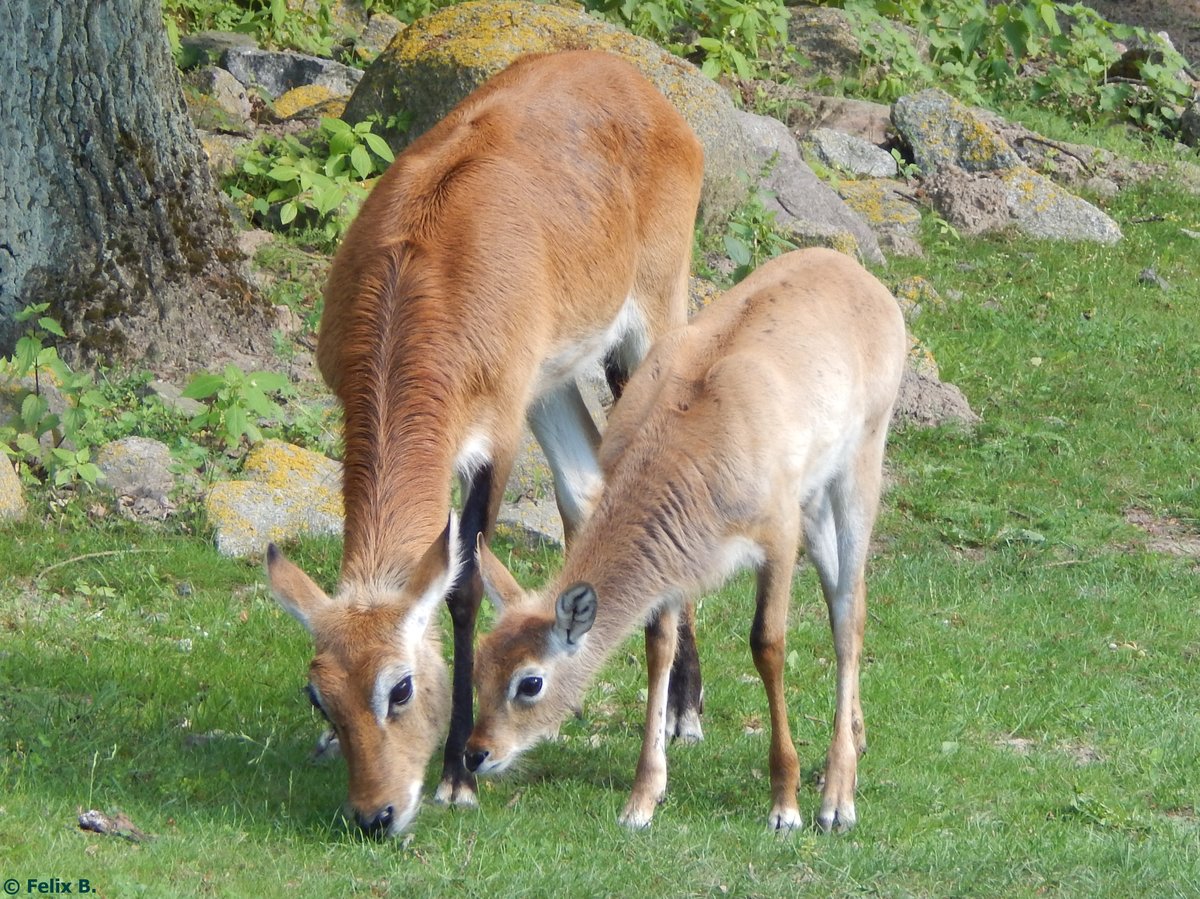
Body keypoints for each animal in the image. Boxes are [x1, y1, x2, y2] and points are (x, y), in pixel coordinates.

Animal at [265, 49, 700, 835]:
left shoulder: (495, 437)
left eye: (401, 688)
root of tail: (633, 79)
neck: (419, 284)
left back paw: (685, 711)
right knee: (587, 488)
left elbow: (463, 585)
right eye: (320, 696)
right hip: (552, 383)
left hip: (649, 327)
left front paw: (456, 776)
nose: (376, 813)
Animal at [463, 247, 902, 835]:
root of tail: (854, 271)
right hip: (815, 503)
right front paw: (642, 800)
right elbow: (659, 648)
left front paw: (784, 804)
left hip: (859, 468)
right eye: (481, 663)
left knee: (850, 610)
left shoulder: (777, 537)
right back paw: (854, 740)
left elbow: (767, 644)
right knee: (841, 596)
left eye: (529, 682)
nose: (477, 753)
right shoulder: (675, 570)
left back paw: (836, 800)